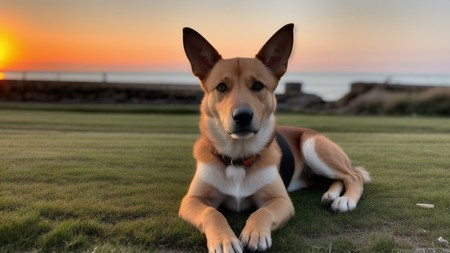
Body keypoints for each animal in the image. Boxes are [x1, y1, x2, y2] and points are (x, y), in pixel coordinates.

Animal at [178, 22, 370, 252]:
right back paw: (331, 195)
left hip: (313, 146)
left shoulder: (281, 200)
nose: (243, 116)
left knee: (353, 176)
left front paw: (256, 233)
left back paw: (345, 200)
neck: (238, 157)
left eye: (258, 85)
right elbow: (212, 212)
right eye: (221, 87)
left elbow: (263, 211)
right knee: (338, 179)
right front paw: (224, 240)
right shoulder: (191, 200)